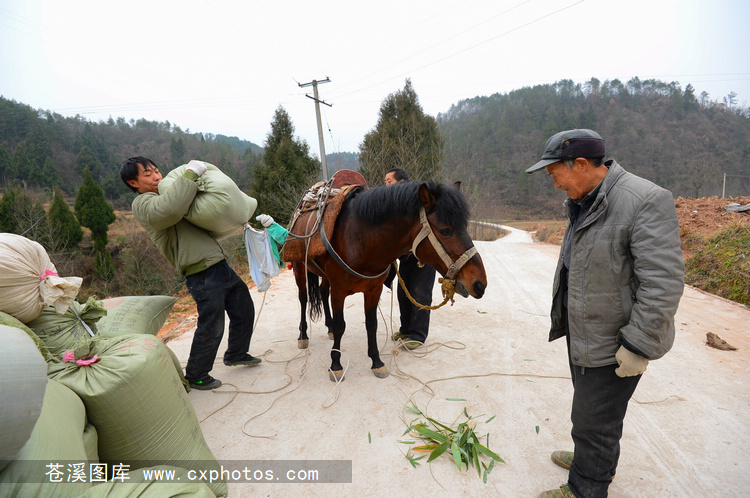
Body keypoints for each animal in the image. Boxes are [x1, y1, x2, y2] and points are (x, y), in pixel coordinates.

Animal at [290, 181, 484, 380]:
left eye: (465, 227)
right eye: (445, 231)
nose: (479, 283)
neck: (358, 239)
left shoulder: (373, 290)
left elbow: (371, 324)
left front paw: (376, 361)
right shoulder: (338, 291)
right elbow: (340, 326)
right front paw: (335, 365)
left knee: (322, 292)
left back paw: (327, 327)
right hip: (299, 268)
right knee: (303, 299)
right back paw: (303, 336)